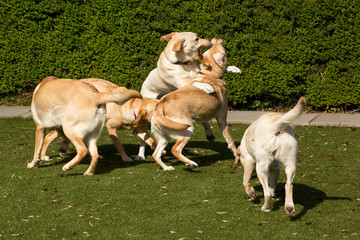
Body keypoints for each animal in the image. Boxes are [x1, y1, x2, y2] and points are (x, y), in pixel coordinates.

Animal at [149, 38, 236, 171]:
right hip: (187, 130)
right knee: (175, 150)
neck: (210, 75)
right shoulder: (222, 119)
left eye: (210, 47)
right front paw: (237, 155)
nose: (215, 39)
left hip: (164, 137)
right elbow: (231, 141)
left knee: (156, 154)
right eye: (222, 49)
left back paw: (167, 167)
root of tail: (160, 106)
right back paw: (191, 163)